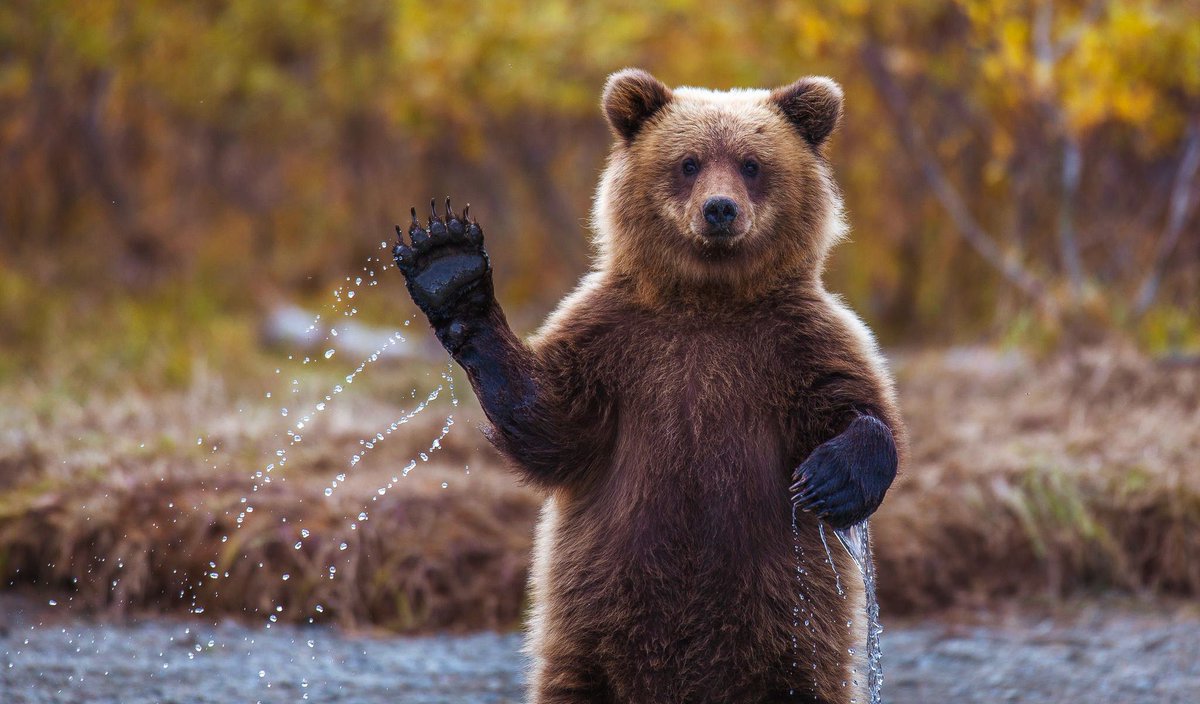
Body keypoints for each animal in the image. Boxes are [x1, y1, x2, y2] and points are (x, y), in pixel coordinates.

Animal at [392, 68, 907, 704]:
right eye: (688, 162)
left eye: (752, 163)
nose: (719, 209)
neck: (708, 299)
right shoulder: (616, 342)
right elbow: (550, 422)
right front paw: (448, 264)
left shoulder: (797, 341)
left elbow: (858, 405)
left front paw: (829, 479)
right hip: (588, 635)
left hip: (792, 639)